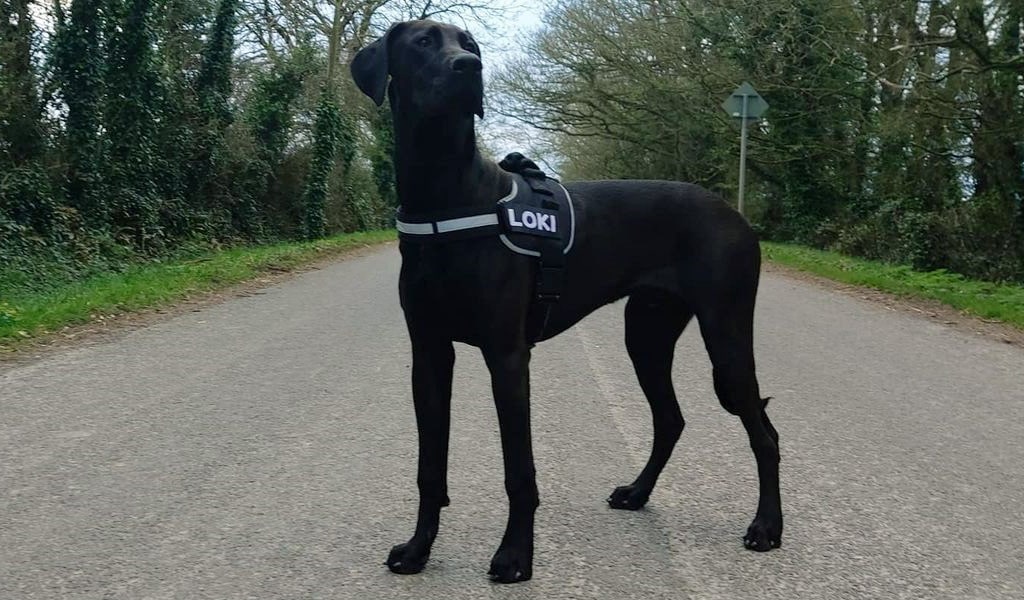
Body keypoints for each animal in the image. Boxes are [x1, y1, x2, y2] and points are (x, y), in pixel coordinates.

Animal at [352, 18, 782, 577]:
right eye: (423, 42)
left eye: (468, 44)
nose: (470, 67)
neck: (445, 195)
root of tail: (736, 215)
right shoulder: (428, 355)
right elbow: (430, 467)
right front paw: (418, 549)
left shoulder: (507, 356)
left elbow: (519, 471)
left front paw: (515, 556)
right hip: (646, 336)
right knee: (671, 419)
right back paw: (638, 492)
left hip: (725, 336)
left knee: (764, 434)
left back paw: (767, 527)